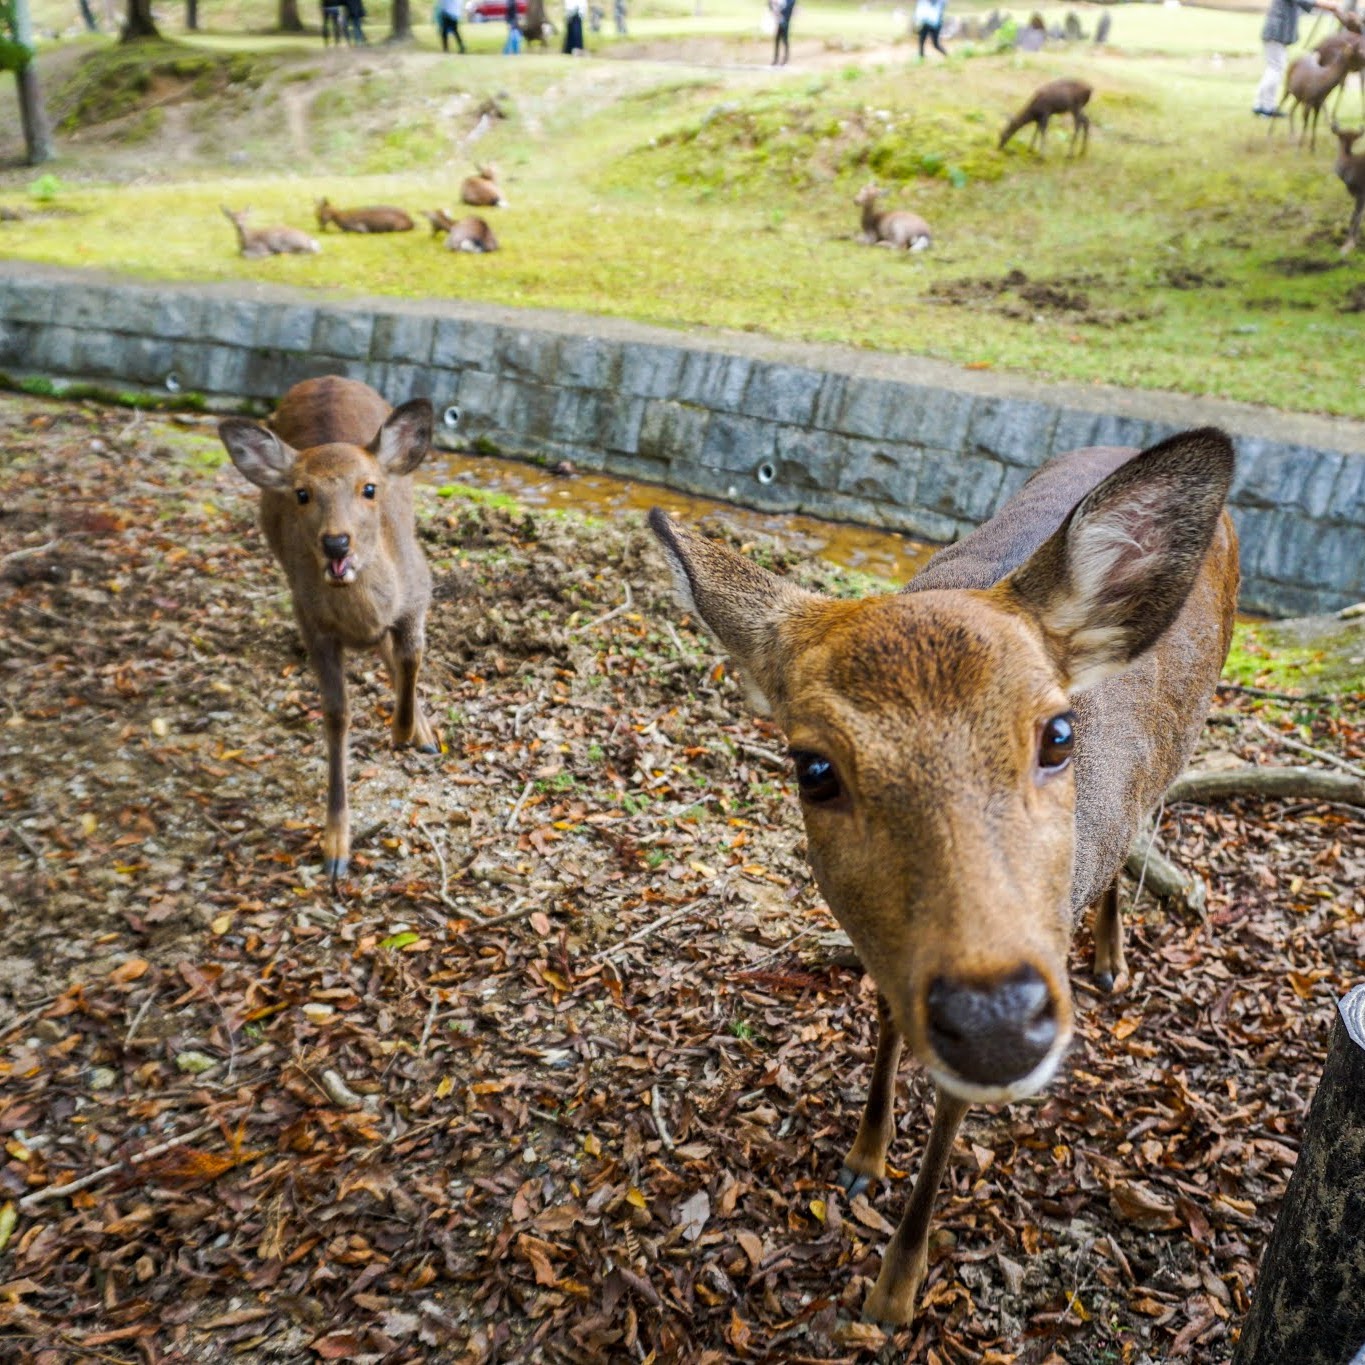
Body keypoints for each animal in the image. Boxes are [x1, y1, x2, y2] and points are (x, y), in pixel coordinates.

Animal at [218, 376, 434, 884]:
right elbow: (336, 715)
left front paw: (405, 731)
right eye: (302, 493)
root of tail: (326, 379)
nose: (336, 542)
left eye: (369, 488)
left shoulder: (420, 588)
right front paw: (335, 846)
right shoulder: (311, 624)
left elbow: (411, 656)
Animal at [647, 428, 1239, 1321]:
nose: (995, 1019)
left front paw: (892, 1291)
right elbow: (887, 1023)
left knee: (1144, 823)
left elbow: (950, 1119)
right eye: (812, 766)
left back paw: (1110, 959)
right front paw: (863, 1157)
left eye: (1057, 733)